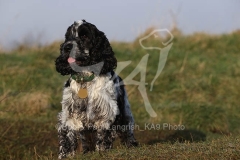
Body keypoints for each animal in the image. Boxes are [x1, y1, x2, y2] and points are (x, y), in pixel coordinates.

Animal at [54, 20, 137, 159]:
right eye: (68, 37)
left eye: (84, 36)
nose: (67, 47)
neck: (85, 79)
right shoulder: (69, 115)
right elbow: (69, 139)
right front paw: (67, 155)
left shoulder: (106, 112)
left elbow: (103, 137)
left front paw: (101, 152)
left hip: (126, 114)